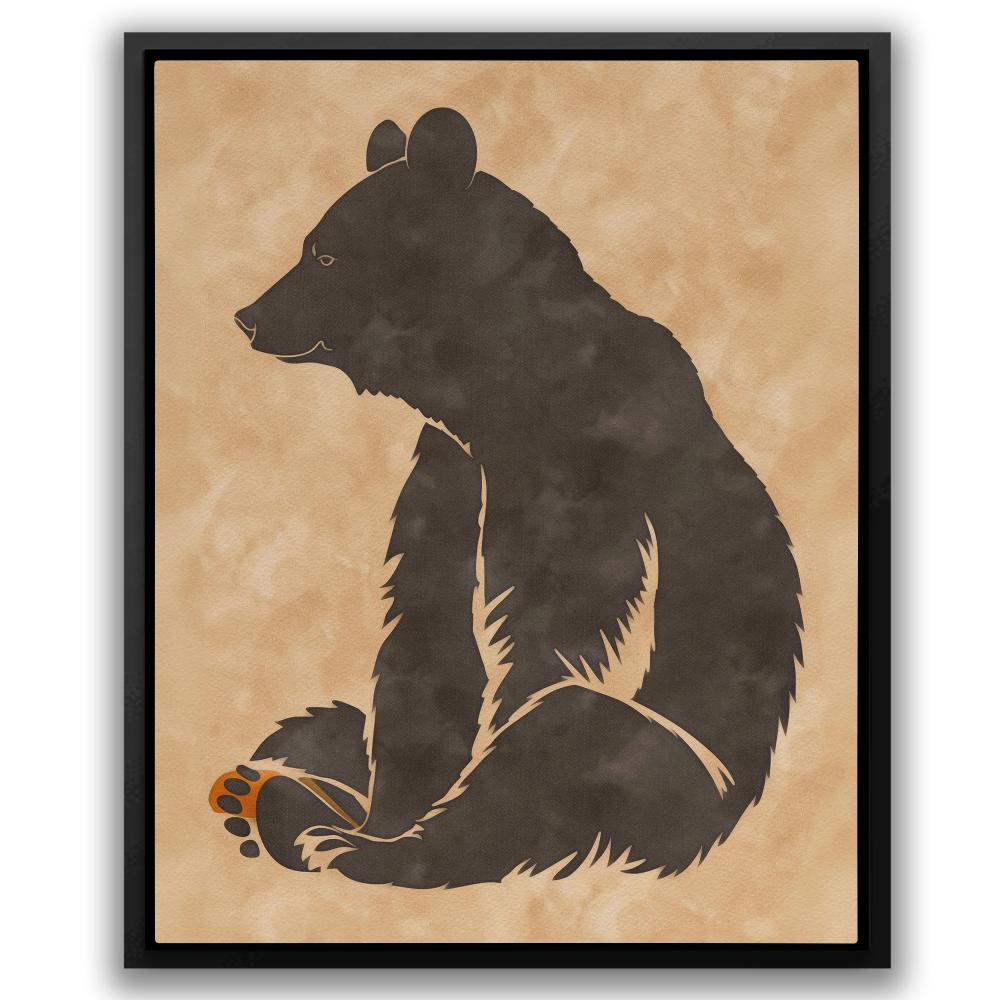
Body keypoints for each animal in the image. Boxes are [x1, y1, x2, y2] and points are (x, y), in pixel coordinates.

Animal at [209, 108, 803, 888]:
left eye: (326, 256)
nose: (248, 316)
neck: (492, 382)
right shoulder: (452, 466)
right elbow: (426, 627)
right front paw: (382, 812)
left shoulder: (583, 464)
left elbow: (551, 635)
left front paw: (377, 840)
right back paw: (289, 782)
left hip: (682, 772)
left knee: (569, 730)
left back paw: (319, 829)